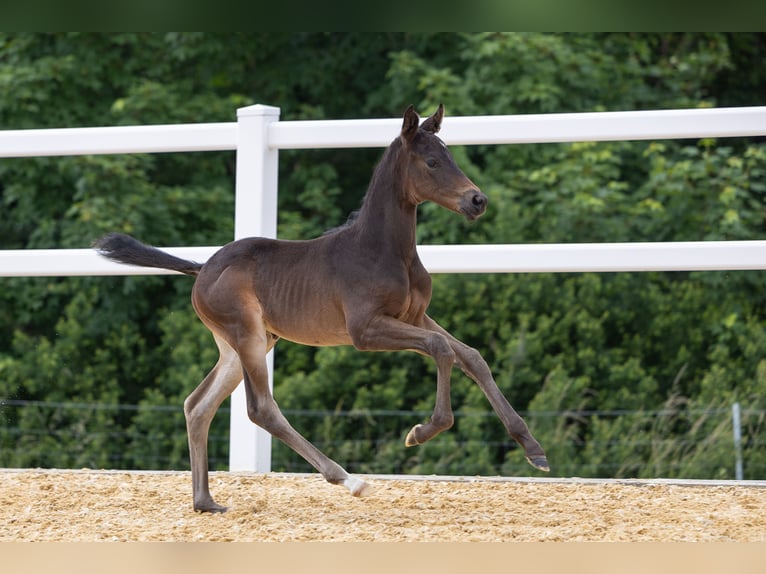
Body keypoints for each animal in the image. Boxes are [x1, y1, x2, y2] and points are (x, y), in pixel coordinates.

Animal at [96, 106, 548, 516]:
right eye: (432, 162)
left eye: (451, 156)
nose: (477, 200)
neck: (384, 250)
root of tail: (203, 266)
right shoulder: (366, 330)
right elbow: (441, 349)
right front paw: (421, 431)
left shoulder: (414, 317)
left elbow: (470, 355)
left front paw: (533, 449)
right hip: (247, 336)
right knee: (261, 409)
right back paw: (348, 479)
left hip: (243, 344)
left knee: (198, 405)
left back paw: (205, 501)